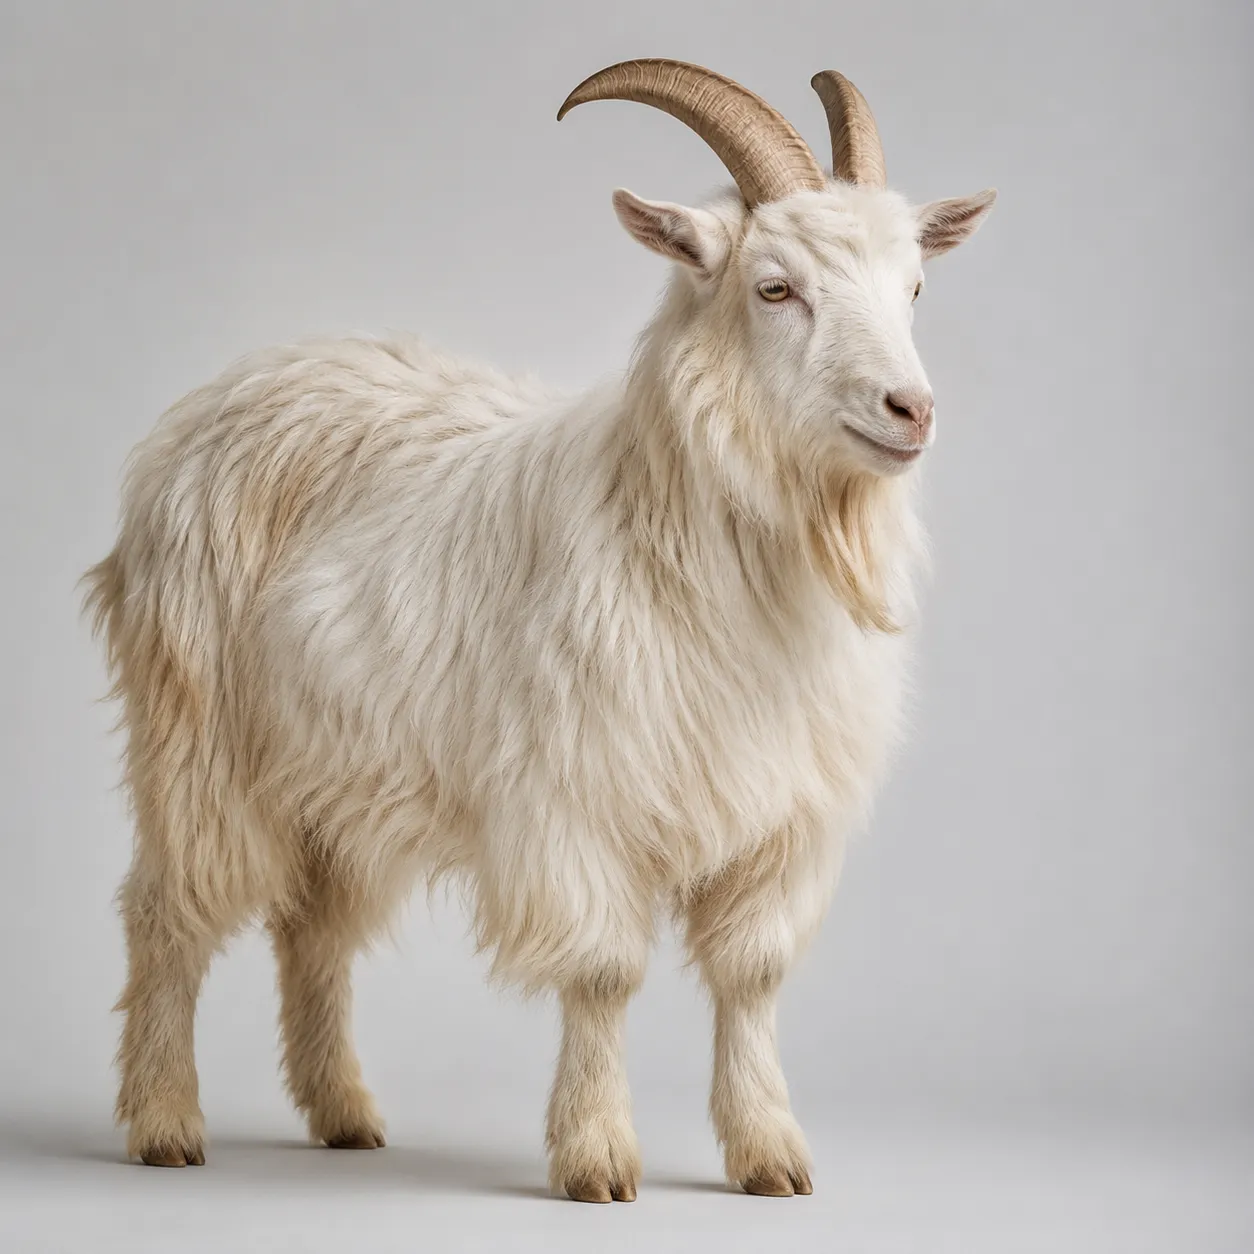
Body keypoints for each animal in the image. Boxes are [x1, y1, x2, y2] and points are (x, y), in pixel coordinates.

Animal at [84, 59, 995, 1201]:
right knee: (168, 915)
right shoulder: (577, 800)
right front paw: (598, 1158)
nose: (910, 410)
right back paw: (165, 1123)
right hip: (198, 745)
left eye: (914, 288)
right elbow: (602, 974)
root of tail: (225, 395)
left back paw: (344, 1114)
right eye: (775, 288)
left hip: (340, 786)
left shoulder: (781, 818)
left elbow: (752, 976)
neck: (671, 528)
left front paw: (770, 1156)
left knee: (312, 934)